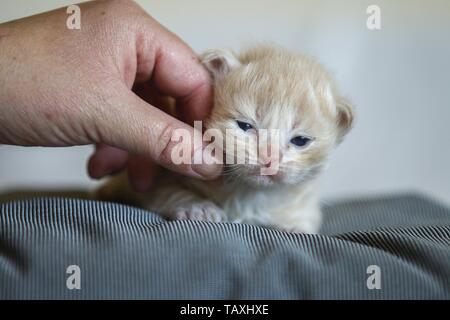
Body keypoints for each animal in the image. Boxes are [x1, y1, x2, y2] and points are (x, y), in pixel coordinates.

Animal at [98, 45, 356, 234]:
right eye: (245, 126)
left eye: (300, 140)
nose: (269, 158)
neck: (247, 192)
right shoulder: (160, 174)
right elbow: (167, 189)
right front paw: (198, 208)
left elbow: (306, 215)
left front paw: (294, 225)